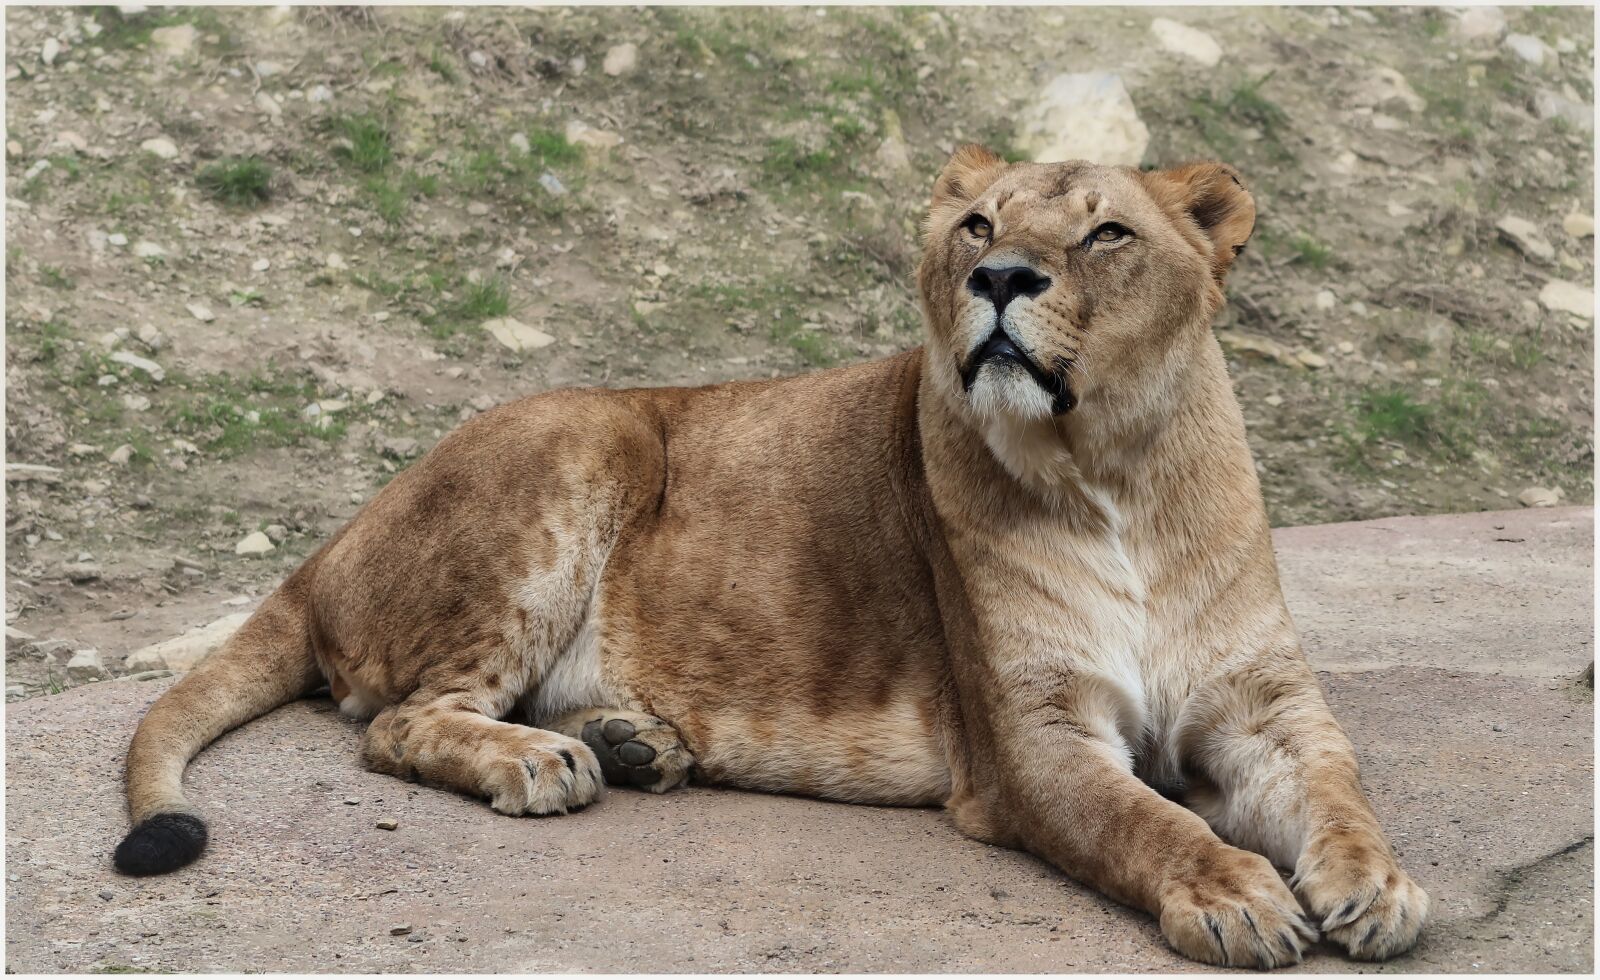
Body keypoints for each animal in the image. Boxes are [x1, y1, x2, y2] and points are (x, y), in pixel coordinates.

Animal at [114, 146, 1429, 967]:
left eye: (1107, 232)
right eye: (978, 224)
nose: (1000, 277)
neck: (1115, 475)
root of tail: (329, 544)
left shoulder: (1267, 710)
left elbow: (1343, 786)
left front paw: (1379, 885)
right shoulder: (1032, 742)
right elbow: (1147, 823)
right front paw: (1237, 892)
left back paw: (632, 742)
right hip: (579, 430)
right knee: (394, 721)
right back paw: (545, 760)